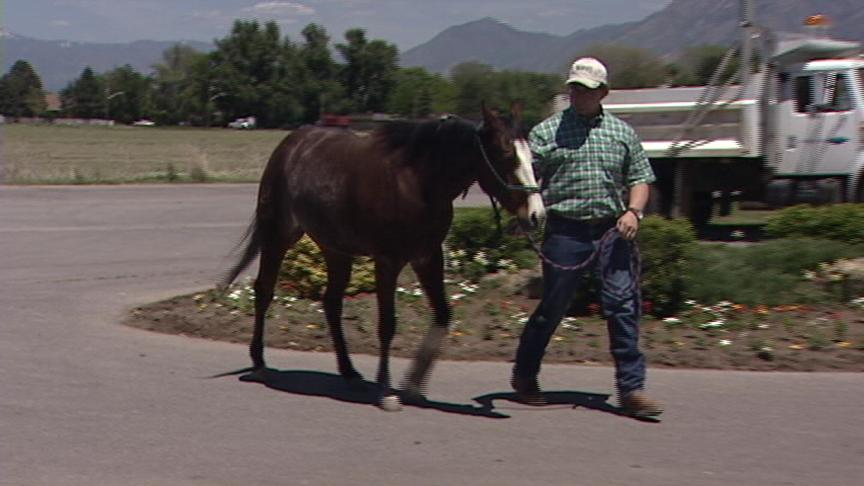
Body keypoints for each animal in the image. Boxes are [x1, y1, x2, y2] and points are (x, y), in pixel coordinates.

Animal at [221, 104, 546, 410]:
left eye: (531, 157)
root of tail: (291, 144)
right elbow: (387, 325)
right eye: (505, 155)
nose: (536, 215)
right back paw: (260, 363)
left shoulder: (428, 257)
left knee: (331, 304)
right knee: (264, 290)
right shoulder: (388, 260)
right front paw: (387, 391)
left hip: (336, 250)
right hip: (277, 236)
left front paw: (413, 385)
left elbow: (442, 314)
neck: (418, 182)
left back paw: (349, 372)